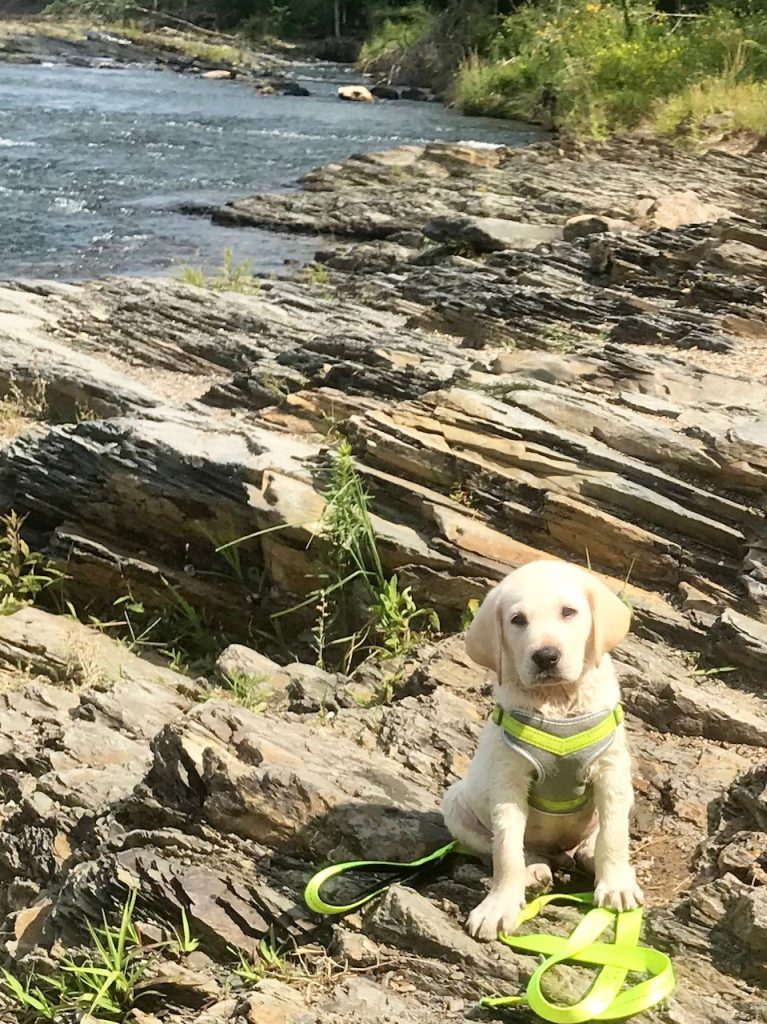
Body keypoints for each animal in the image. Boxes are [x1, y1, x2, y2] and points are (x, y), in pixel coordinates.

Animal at [440, 561, 638, 942]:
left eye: (569, 612)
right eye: (518, 620)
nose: (546, 656)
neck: (557, 702)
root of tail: (558, 852)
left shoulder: (611, 771)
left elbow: (615, 834)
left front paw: (617, 884)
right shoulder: (508, 781)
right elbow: (506, 852)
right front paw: (499, 905)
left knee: (600, 831)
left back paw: (589, 851)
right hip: (454, 803)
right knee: (509, 848)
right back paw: (533, 871)